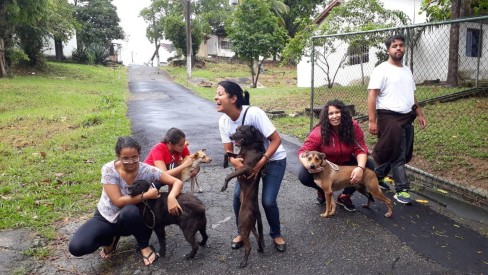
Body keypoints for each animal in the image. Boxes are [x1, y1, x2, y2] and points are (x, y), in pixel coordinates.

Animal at [220, 125, 264, 270]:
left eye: (241, 130)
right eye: (236, 129)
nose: (230, 136)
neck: (249, 145)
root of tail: (256, 209)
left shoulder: (246, 167)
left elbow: (228, 175)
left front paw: (224, 186)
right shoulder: (238, 158)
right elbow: (228, 153)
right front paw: (224, 163)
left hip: (243, 222)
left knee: (248, 246)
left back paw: (244, 262)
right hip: (250, 224)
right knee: (257, 236)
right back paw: (260, 248)